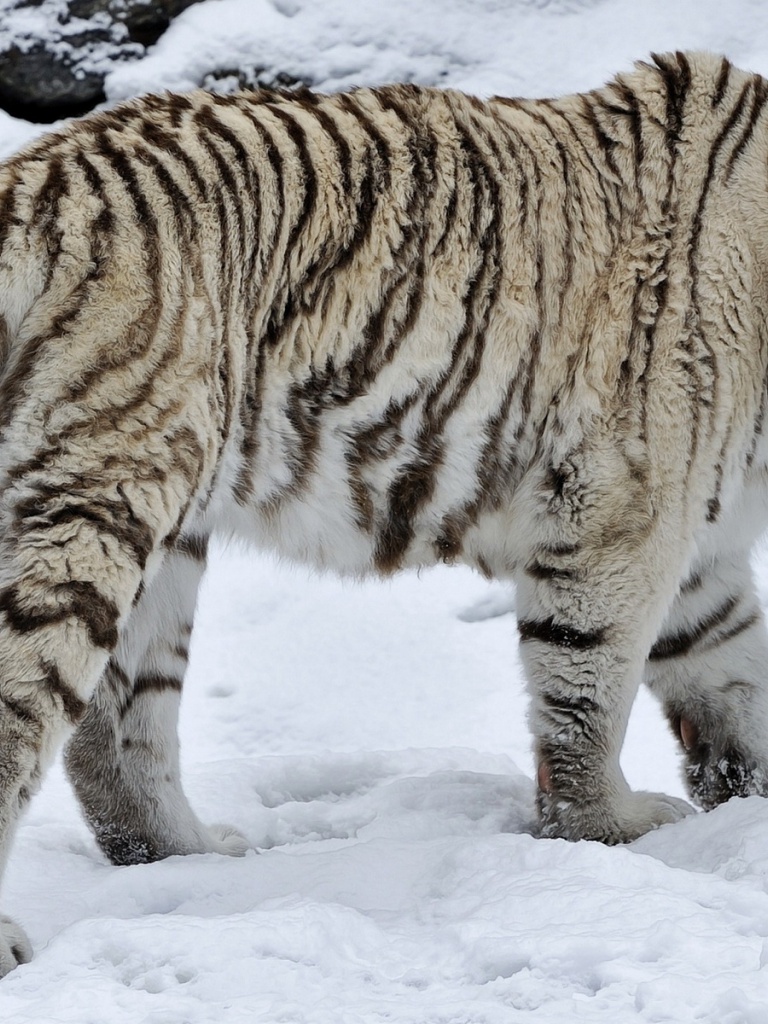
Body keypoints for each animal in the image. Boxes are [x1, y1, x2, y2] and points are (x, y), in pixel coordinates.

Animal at [0, 48, 765, 970]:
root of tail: (27, 180)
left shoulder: (701, 544)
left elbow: (733, 668)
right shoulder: (621, 511)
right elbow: (590, 688)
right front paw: (611, 828)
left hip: (163, 527)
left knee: (117, 726)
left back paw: (193, 854)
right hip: (93, 500)